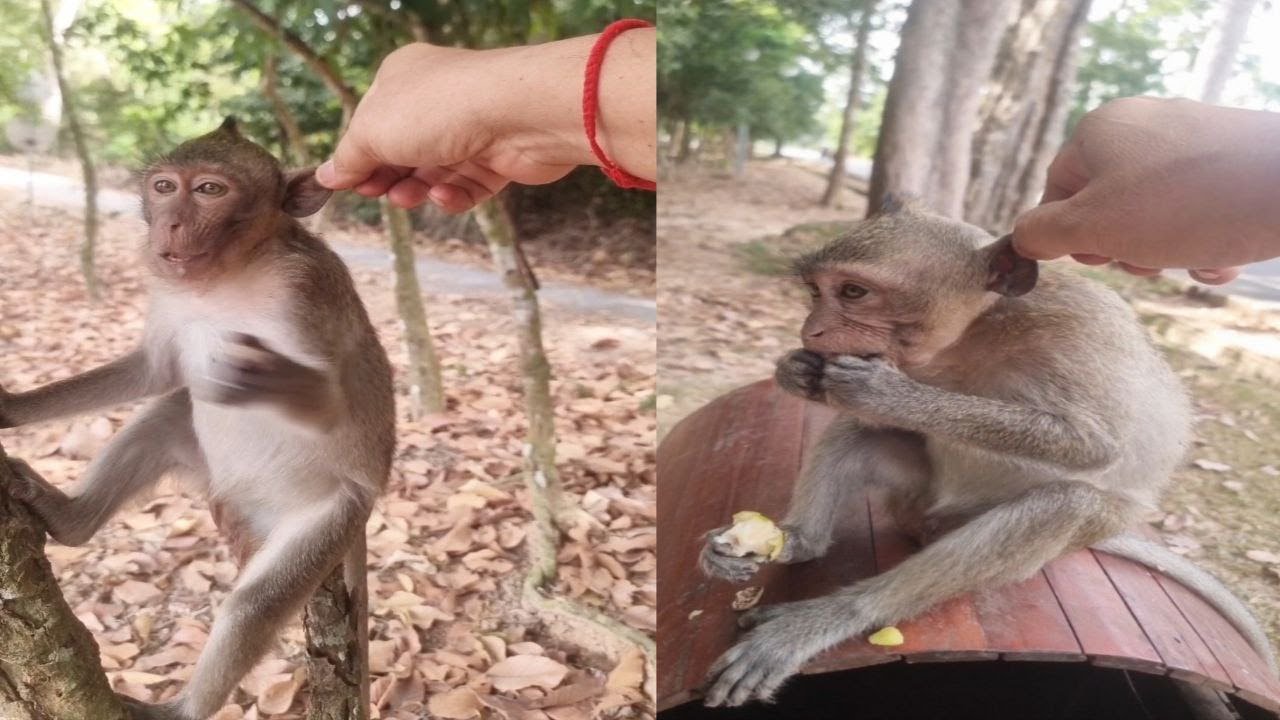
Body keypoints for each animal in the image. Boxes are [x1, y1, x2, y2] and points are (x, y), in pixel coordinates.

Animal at [0, 117, 394, 720]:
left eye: (210, 190)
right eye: (165, 187)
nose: (171, 223)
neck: (231, 275)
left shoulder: (306, 292)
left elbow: (332, 402)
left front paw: (268, 377)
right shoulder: (168, 292)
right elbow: (155, 371)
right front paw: (11, 406)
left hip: (334, 513)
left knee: (256, 605)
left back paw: (182, 709)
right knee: (164, 420)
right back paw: (68, 519)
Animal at [698, 201, 1276, 707]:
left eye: (854, 291)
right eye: (815, 290)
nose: (810, 330)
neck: (972, 335)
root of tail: (931, 516)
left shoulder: (1077, 330)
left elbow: (1093, 444)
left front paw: (884, 394)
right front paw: (795, 371)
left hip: (1016, 524)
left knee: (1064, 505)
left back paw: (841, 613)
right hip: (918, 492)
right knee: (858, 437)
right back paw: (799, 542)